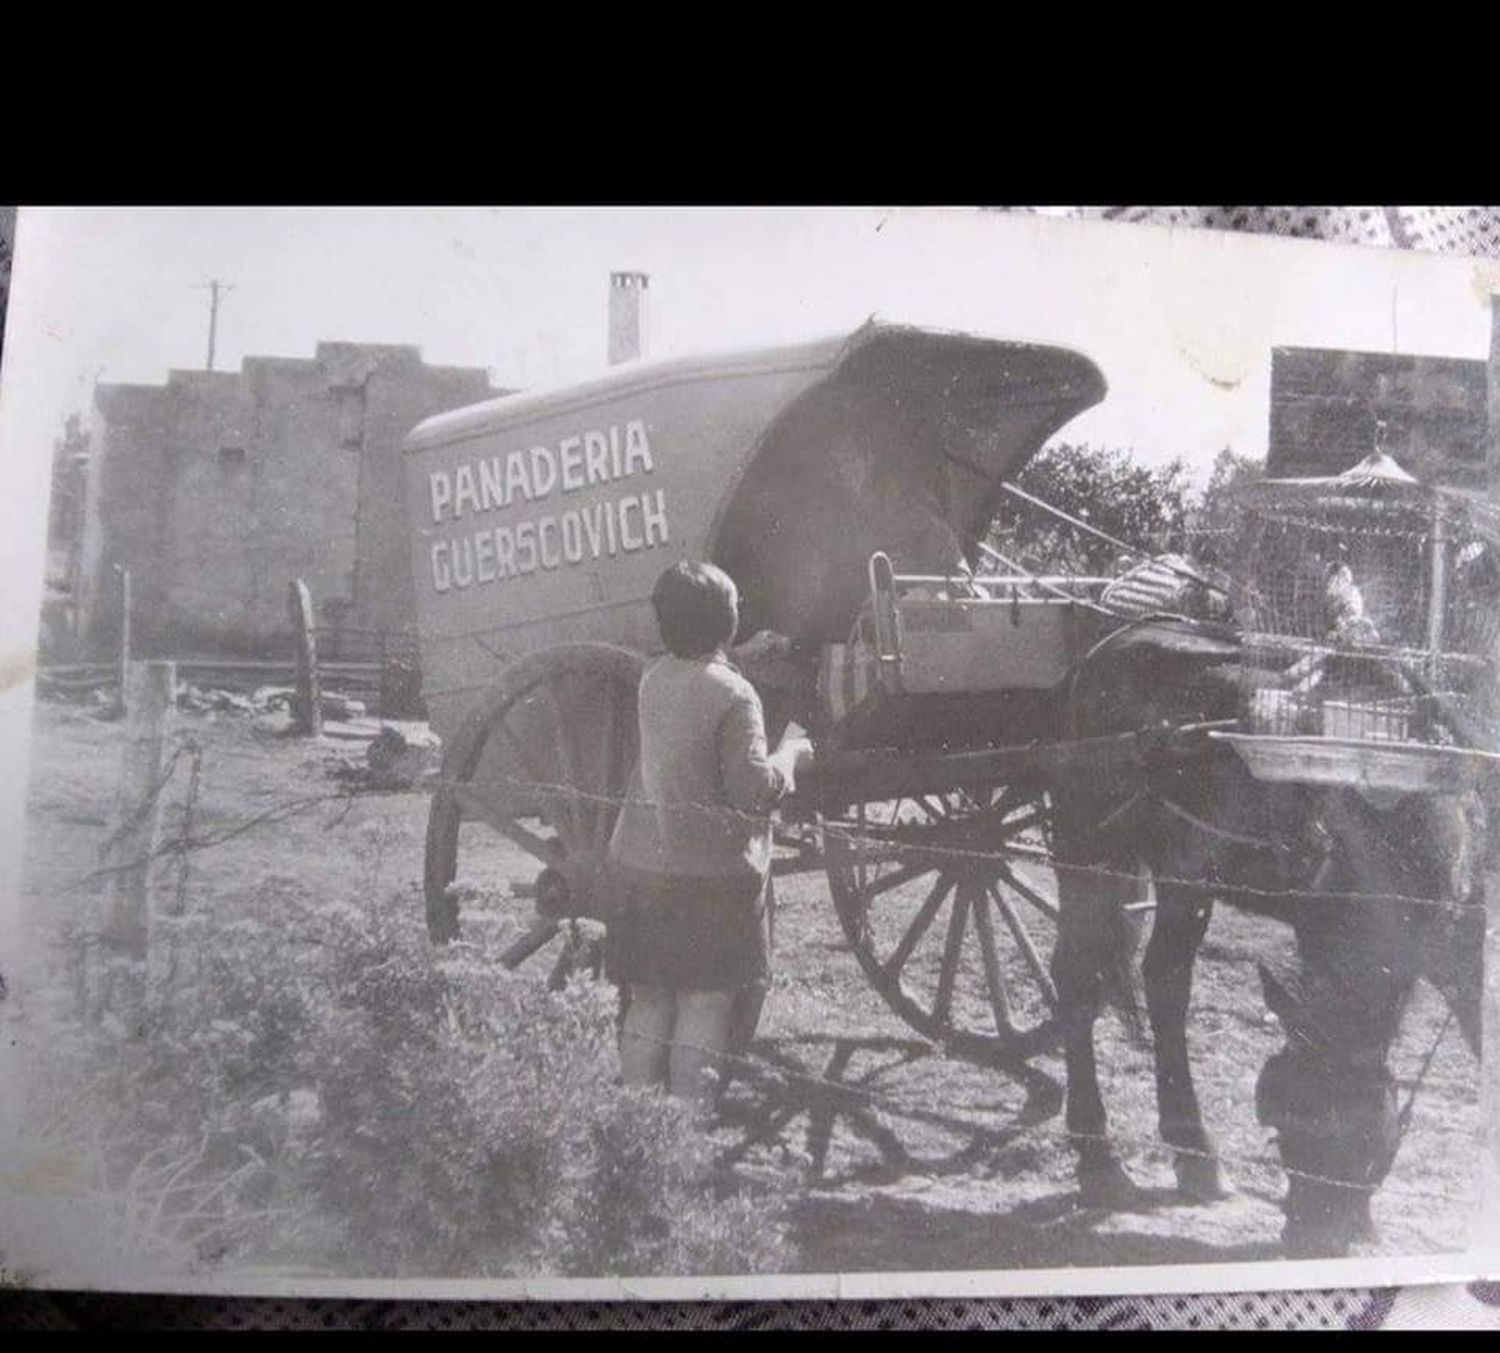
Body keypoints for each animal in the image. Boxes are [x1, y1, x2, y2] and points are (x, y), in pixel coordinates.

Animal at [1044, 615, 1488, 1260]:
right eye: (1284, 1130)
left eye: (1359, 1140)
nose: (1308, 1237)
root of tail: (1109, 646)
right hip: (1089, 844)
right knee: (1079, 980)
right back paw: (1100, 1161)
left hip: (1186, 872)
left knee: (1165, 979)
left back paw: (1195, 1155)